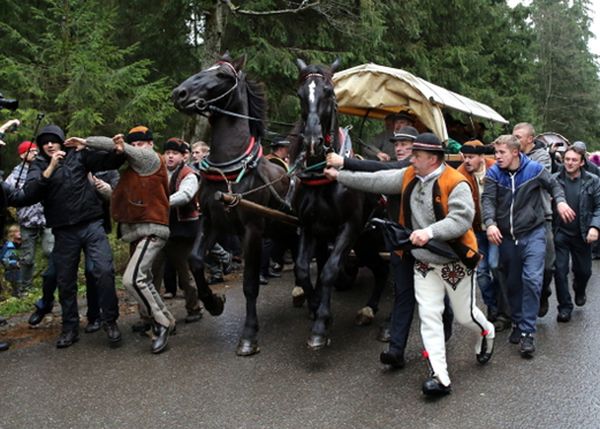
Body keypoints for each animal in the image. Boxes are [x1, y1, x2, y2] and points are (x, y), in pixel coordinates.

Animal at [171, 53, 290, 354]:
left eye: (222, 76)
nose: (180, 93)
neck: (230, 170)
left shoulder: (252, 230)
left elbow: (249, 283)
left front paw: (248, 335)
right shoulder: (212, 221)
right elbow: (195, 260)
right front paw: (213, 302)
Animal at [290, 59, 390, 348]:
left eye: (329, 93)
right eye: (300, 94)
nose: (312, 141)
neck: (323, 177)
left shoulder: (349, 227)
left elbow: (329, 270)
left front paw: (321, 325)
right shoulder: (310, 227)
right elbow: (303, 269)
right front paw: (314, 309)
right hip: (367, 241)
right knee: (381, 269)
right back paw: (368, 309)